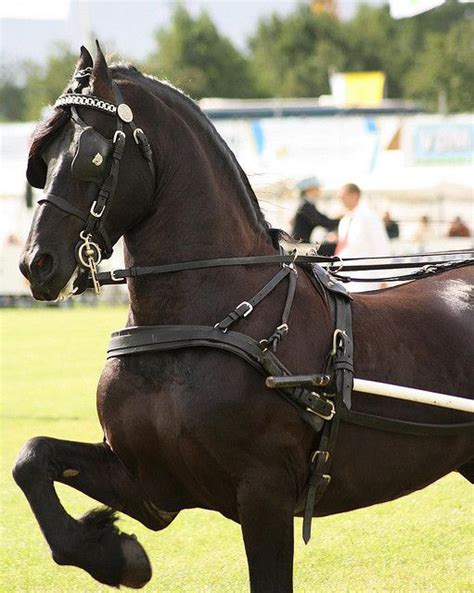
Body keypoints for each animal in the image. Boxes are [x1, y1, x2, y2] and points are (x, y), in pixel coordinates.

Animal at [12, 46, 472, 592]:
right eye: (40, 160)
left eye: (91, 155)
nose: (36, 263)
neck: (206, 318)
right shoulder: (149, 485)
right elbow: (31, 458)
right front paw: (114, 554)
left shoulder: (264, 495)